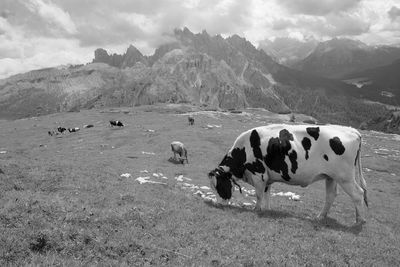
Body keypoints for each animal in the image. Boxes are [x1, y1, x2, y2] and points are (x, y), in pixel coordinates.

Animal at [209, 124, 368, 225]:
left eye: (219, 186)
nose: (218, 204)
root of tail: (352, 131)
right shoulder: (267, 178)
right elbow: (267, 194)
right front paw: (267, 209)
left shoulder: (259, 174)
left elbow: (259, 195)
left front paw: (257, 209)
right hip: (331, 177)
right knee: (330, 196)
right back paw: (320, 217)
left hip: (345, 177)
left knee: (358, 194)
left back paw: (359, 220)